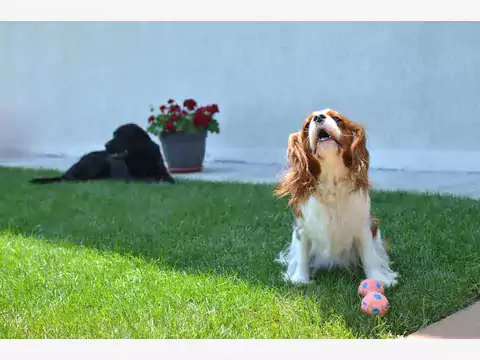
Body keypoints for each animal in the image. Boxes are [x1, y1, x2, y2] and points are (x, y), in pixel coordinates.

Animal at [28, 124, 174, 186]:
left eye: (121, 135)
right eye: (114, 134)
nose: (106, 145)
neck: (141, 155)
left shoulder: (166, 174)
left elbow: (167, 178)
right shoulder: (133, 177)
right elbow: (149, 178)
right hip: (97, 163)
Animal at [274, 107, 398, 286]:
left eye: (337, 119)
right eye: (307, 126)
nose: (319, 117)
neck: (331, 178)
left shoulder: (364, 226)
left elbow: (369, 255)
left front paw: (378, 279)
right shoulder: (302, 227)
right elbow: (302, 253)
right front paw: (300, 279)